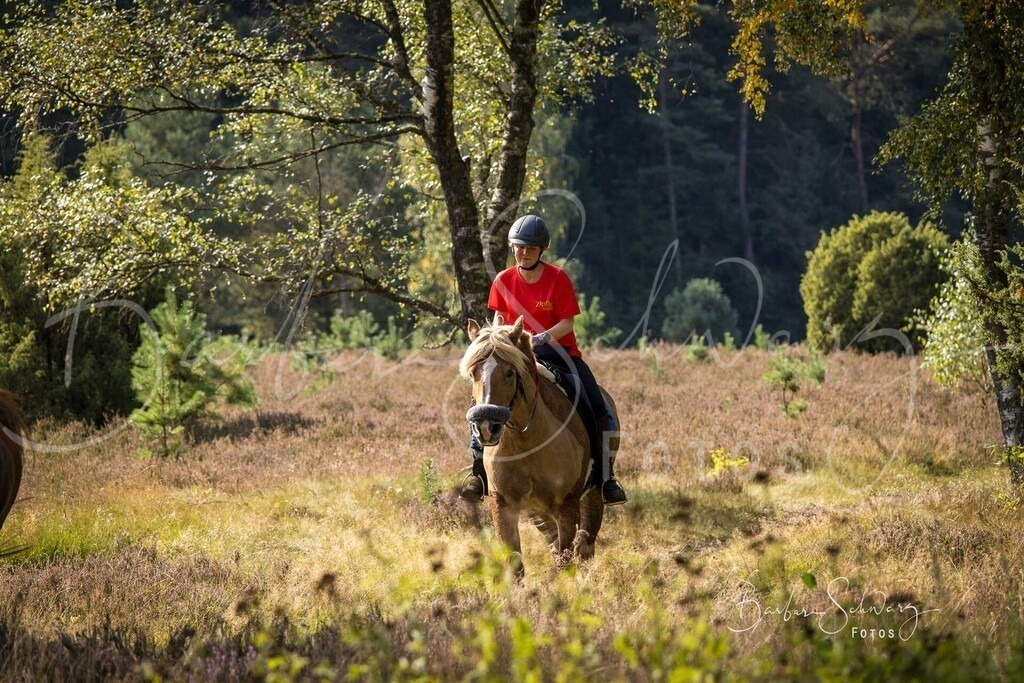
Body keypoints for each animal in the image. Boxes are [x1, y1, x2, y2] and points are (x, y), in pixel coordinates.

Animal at [460, 316, 619, 577]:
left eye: (510, 372)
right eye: (473, 373)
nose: (486, 426)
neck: (526, 441)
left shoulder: (566, 506)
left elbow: (566, 559)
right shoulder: (502, 504)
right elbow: (515, 563)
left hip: (593, 492)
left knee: (586, 544)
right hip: (537, 511)